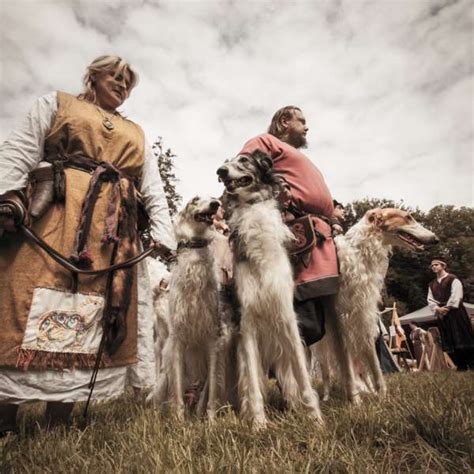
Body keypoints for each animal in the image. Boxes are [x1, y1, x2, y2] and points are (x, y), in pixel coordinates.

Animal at [147, 196, 223, 418]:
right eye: (195, 200)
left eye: (212, 199)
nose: (215, 203)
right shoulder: (177, 341)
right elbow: (177, 394)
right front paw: (179, 421)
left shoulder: (212, 341)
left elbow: (211, 394)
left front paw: (211, 420)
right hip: (165, 372)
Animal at [218, 151, 322, 430]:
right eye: (226, 162)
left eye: (243, 160)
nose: (220, 171)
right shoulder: (247, 324)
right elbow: (254, 387)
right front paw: (258, 425)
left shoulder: (287, 318)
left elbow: (304, 380)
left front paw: (316, 419)